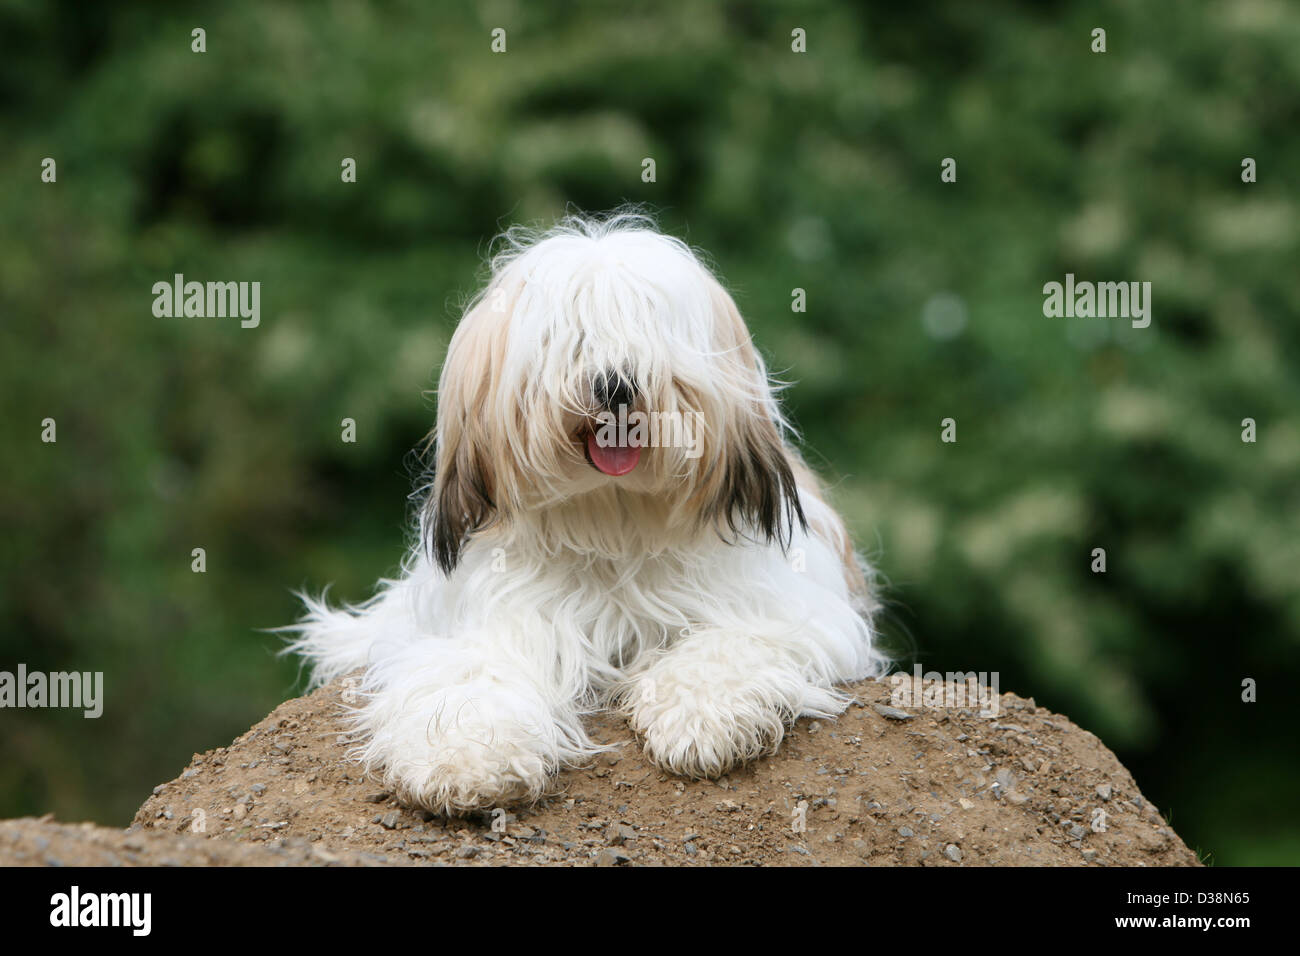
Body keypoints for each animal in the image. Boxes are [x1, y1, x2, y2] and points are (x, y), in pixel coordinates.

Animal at [289, 210, 889, 816]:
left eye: (646, 326)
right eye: (568, 336)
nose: (615, 384)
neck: (612, 524)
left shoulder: (785, 608)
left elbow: (729, 646)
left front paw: (701, 718)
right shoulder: (492, 621)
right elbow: (473, 676)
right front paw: (466, 756)